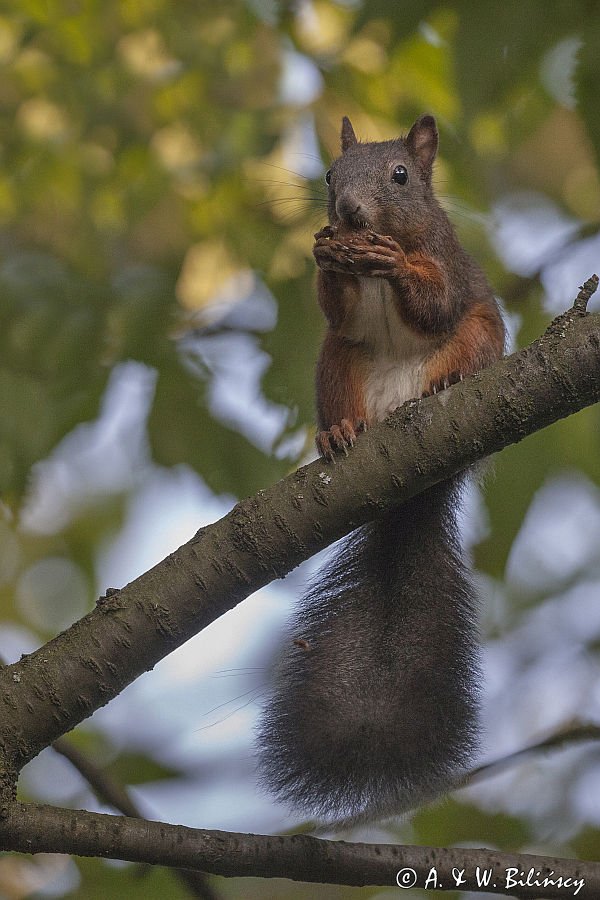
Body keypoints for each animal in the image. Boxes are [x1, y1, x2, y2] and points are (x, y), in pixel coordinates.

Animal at [255, 116, 504, 828]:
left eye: (400, 176)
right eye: (330, 175)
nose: (347, 213)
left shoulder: (449, 264)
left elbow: (436, 300)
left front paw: (395, 265)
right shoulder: (339, 315)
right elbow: (336, 307)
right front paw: (326, 254)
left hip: (481, 335)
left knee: (464, 340)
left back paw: (448, 382)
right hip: (337, 364)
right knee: (342, 363)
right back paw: (340, 434)